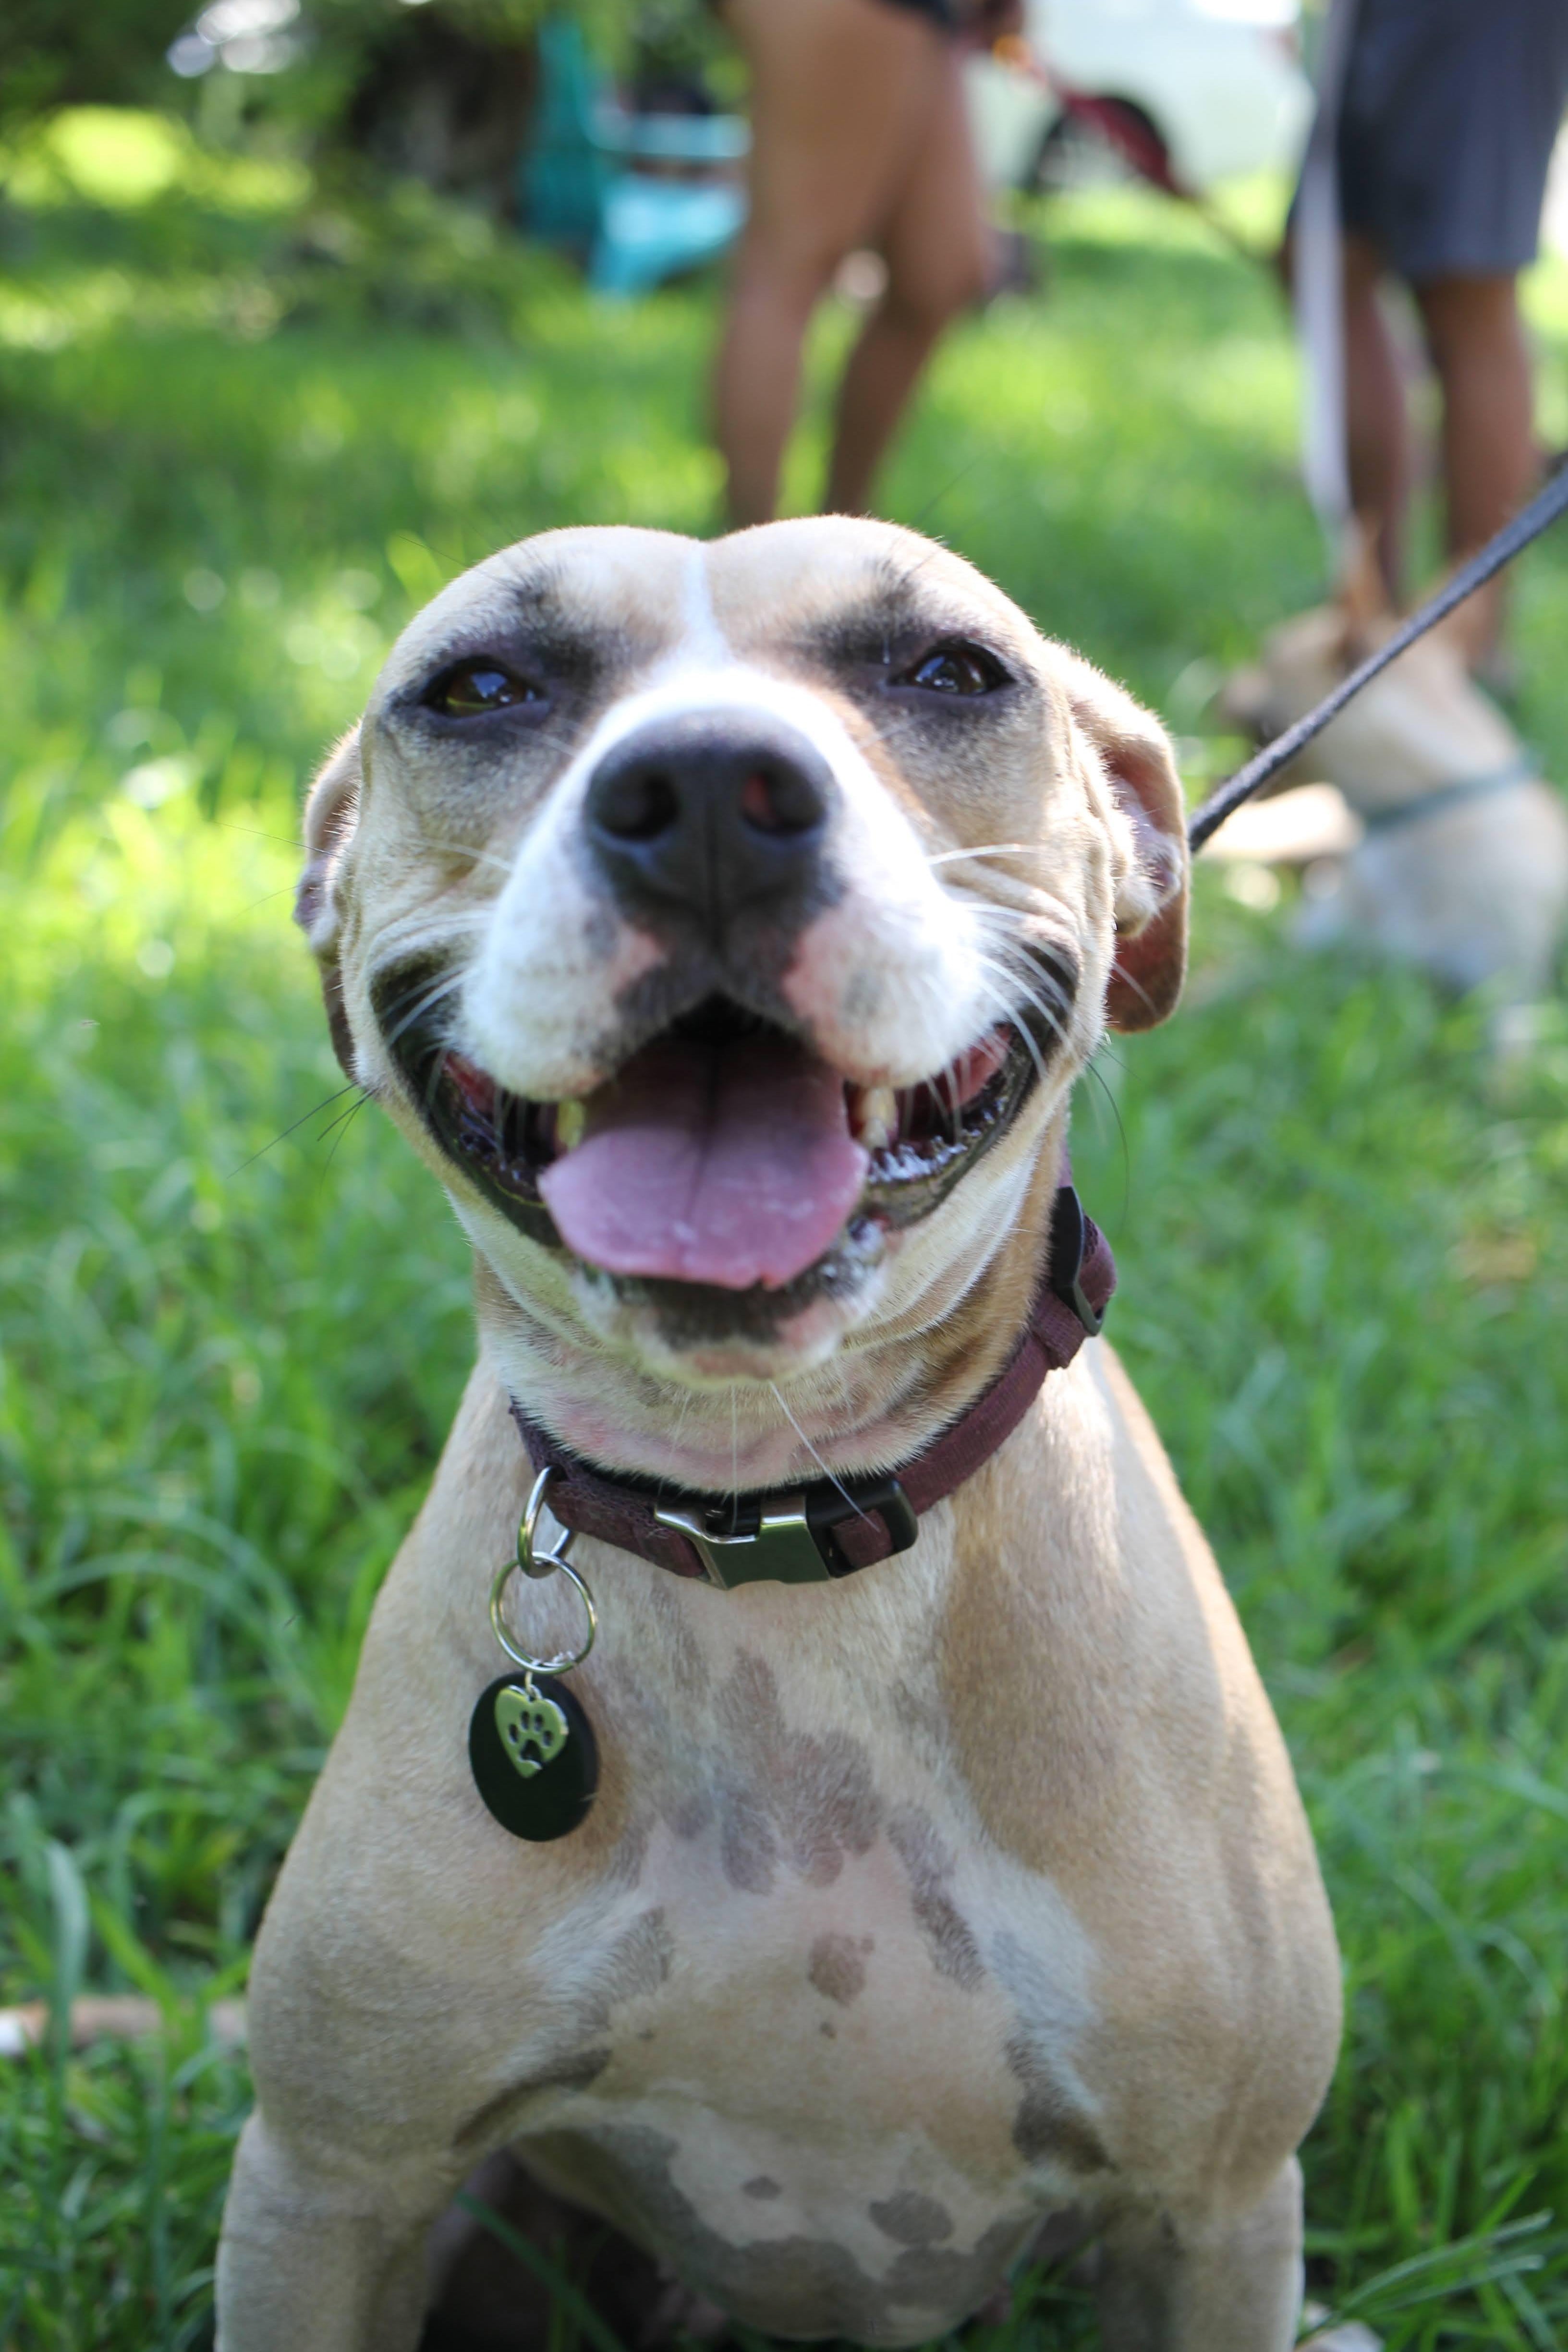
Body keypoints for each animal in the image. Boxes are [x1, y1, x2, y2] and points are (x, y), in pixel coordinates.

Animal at [215, 524, 1344, 2342]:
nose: (701, 792)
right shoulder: (328, 2182)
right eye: (480, 686)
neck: (766, 1511)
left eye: (952, 670)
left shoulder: (1216, 2210)